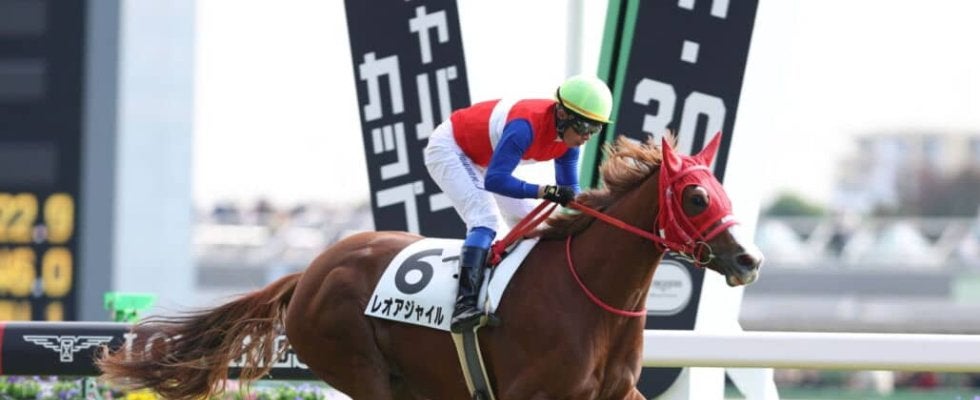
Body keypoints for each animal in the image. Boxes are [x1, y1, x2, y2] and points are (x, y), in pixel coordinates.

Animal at [97, 132, 763, 400]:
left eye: (721, 189)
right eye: (695, 197)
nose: (749, 259)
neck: (593, 300)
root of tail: (308, 272)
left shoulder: (618, 394)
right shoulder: (530, 393)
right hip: (360, 370)